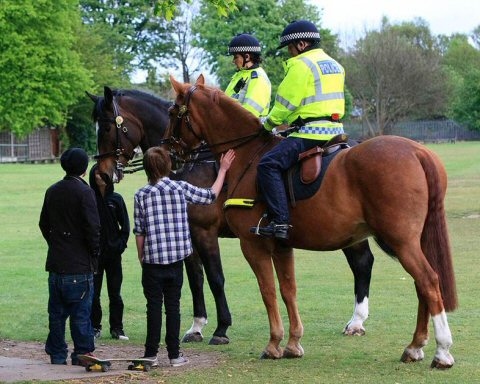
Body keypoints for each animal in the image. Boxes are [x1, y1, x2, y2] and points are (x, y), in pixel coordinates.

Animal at [87, 86, 376, 342]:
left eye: (108, 127)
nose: (103, 173)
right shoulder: (187, 232)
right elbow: (196, 279)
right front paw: (197, 326)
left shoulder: (205, 233)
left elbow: (215, 278)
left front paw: (221, 327)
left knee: (362, 262)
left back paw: (357, 321)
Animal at [168, 74, 458, 368]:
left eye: (173, 111)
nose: (170, 152)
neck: (248, 155)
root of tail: (417, 151)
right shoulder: (281, 246)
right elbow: (288, 290)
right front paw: (293, 343)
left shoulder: (249, 243)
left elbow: (266, 290)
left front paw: (271, 343)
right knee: (418, 284)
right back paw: (415, 346)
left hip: (400, 241)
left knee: (428, 281)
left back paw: (441, 351)